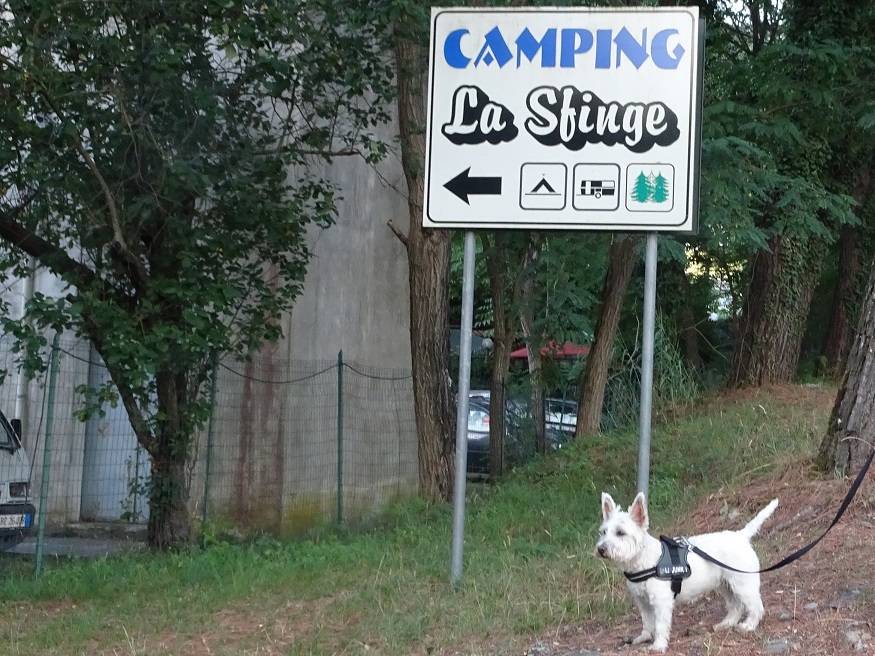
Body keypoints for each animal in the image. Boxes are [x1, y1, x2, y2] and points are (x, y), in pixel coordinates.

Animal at [600, 492, 776, 652]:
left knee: (756, 606)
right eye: (603, 532)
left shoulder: (661, 602)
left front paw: (658, 645)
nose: (601, 549)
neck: (644, 560)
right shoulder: (642, 601)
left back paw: (748, 626)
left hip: (743, 584)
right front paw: (645, 636)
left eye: (620, 532)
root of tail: (741, 536)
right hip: (725, 585)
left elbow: (660, 624)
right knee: (736, 605)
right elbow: (647, 621)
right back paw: (725, 624)